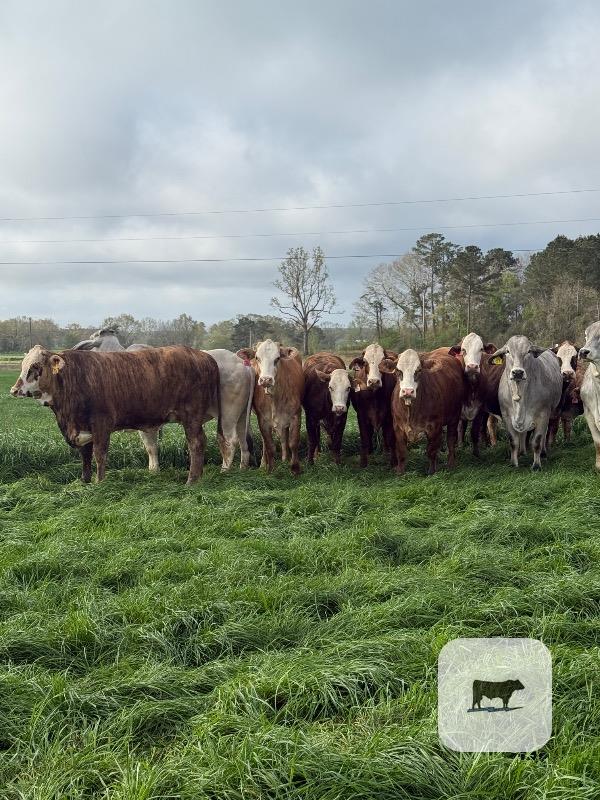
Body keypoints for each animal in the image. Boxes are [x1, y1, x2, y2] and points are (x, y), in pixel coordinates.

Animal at [10, 346, 220, 484]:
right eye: (22, 366)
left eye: (35, 367)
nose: (14, 390)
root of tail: (202, 355)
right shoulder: (82, 428)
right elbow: (85, 456)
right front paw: (84, 481)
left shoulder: (101, 424)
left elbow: (99, 454)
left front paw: (100, 483)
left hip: (191, 416)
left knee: (196, 443)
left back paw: (191, 480)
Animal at [71, 329, 255, 471]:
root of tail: (242, 363)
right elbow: (152, 447)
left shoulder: (145, 422)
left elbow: (150, 447)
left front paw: (153, 470)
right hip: (241, 415)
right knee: (243, 440)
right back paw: (242, 468)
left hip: (228, 415)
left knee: (230, 441)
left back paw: (225, 470)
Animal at [237, 339, 304, 475]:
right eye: (257, 358)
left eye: (277, 358)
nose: (266, 380)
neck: (275, 397)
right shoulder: (263, 420)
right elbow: (269, 446)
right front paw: (270, 469)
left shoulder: (295, 415)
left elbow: (293, 442)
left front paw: (295, 468)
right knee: (265, 443)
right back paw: (263, 464)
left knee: (284, 438)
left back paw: (285, 458)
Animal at [488, 336, 562, 470]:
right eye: (507, 351)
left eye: (529, 351)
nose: (517, 372)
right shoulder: (507, 416)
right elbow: (513, 441)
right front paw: (513, 463)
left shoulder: (543, 415)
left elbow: (537, 441)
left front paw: (536, 465)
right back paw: (522, 452)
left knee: (544, 435)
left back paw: (543, 453)